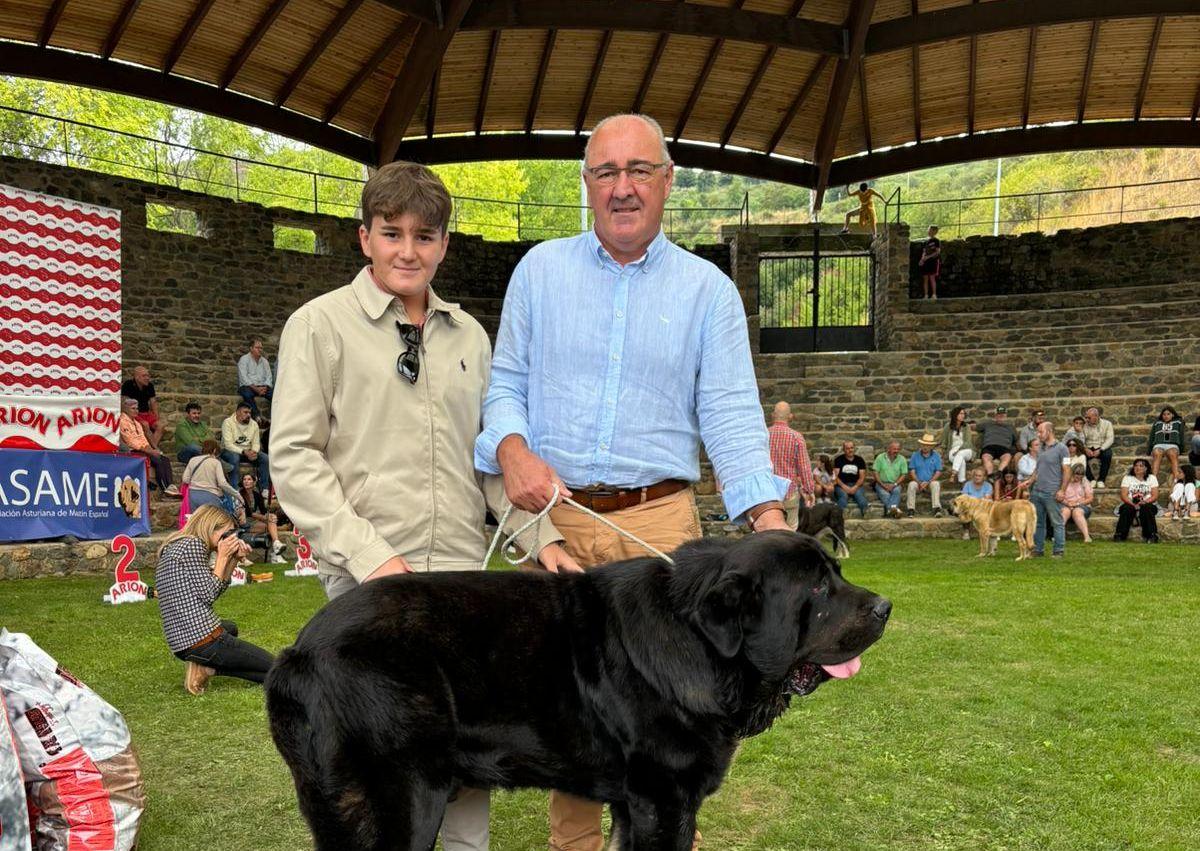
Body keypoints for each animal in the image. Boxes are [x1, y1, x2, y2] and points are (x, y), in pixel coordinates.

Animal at [267, 528, 888, 844]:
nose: (884, 607)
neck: (698, 642)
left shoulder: (633, 805)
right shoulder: (663, 799)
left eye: (835, 572)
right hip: (404, 800)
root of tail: (296, 655)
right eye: (816, 590)